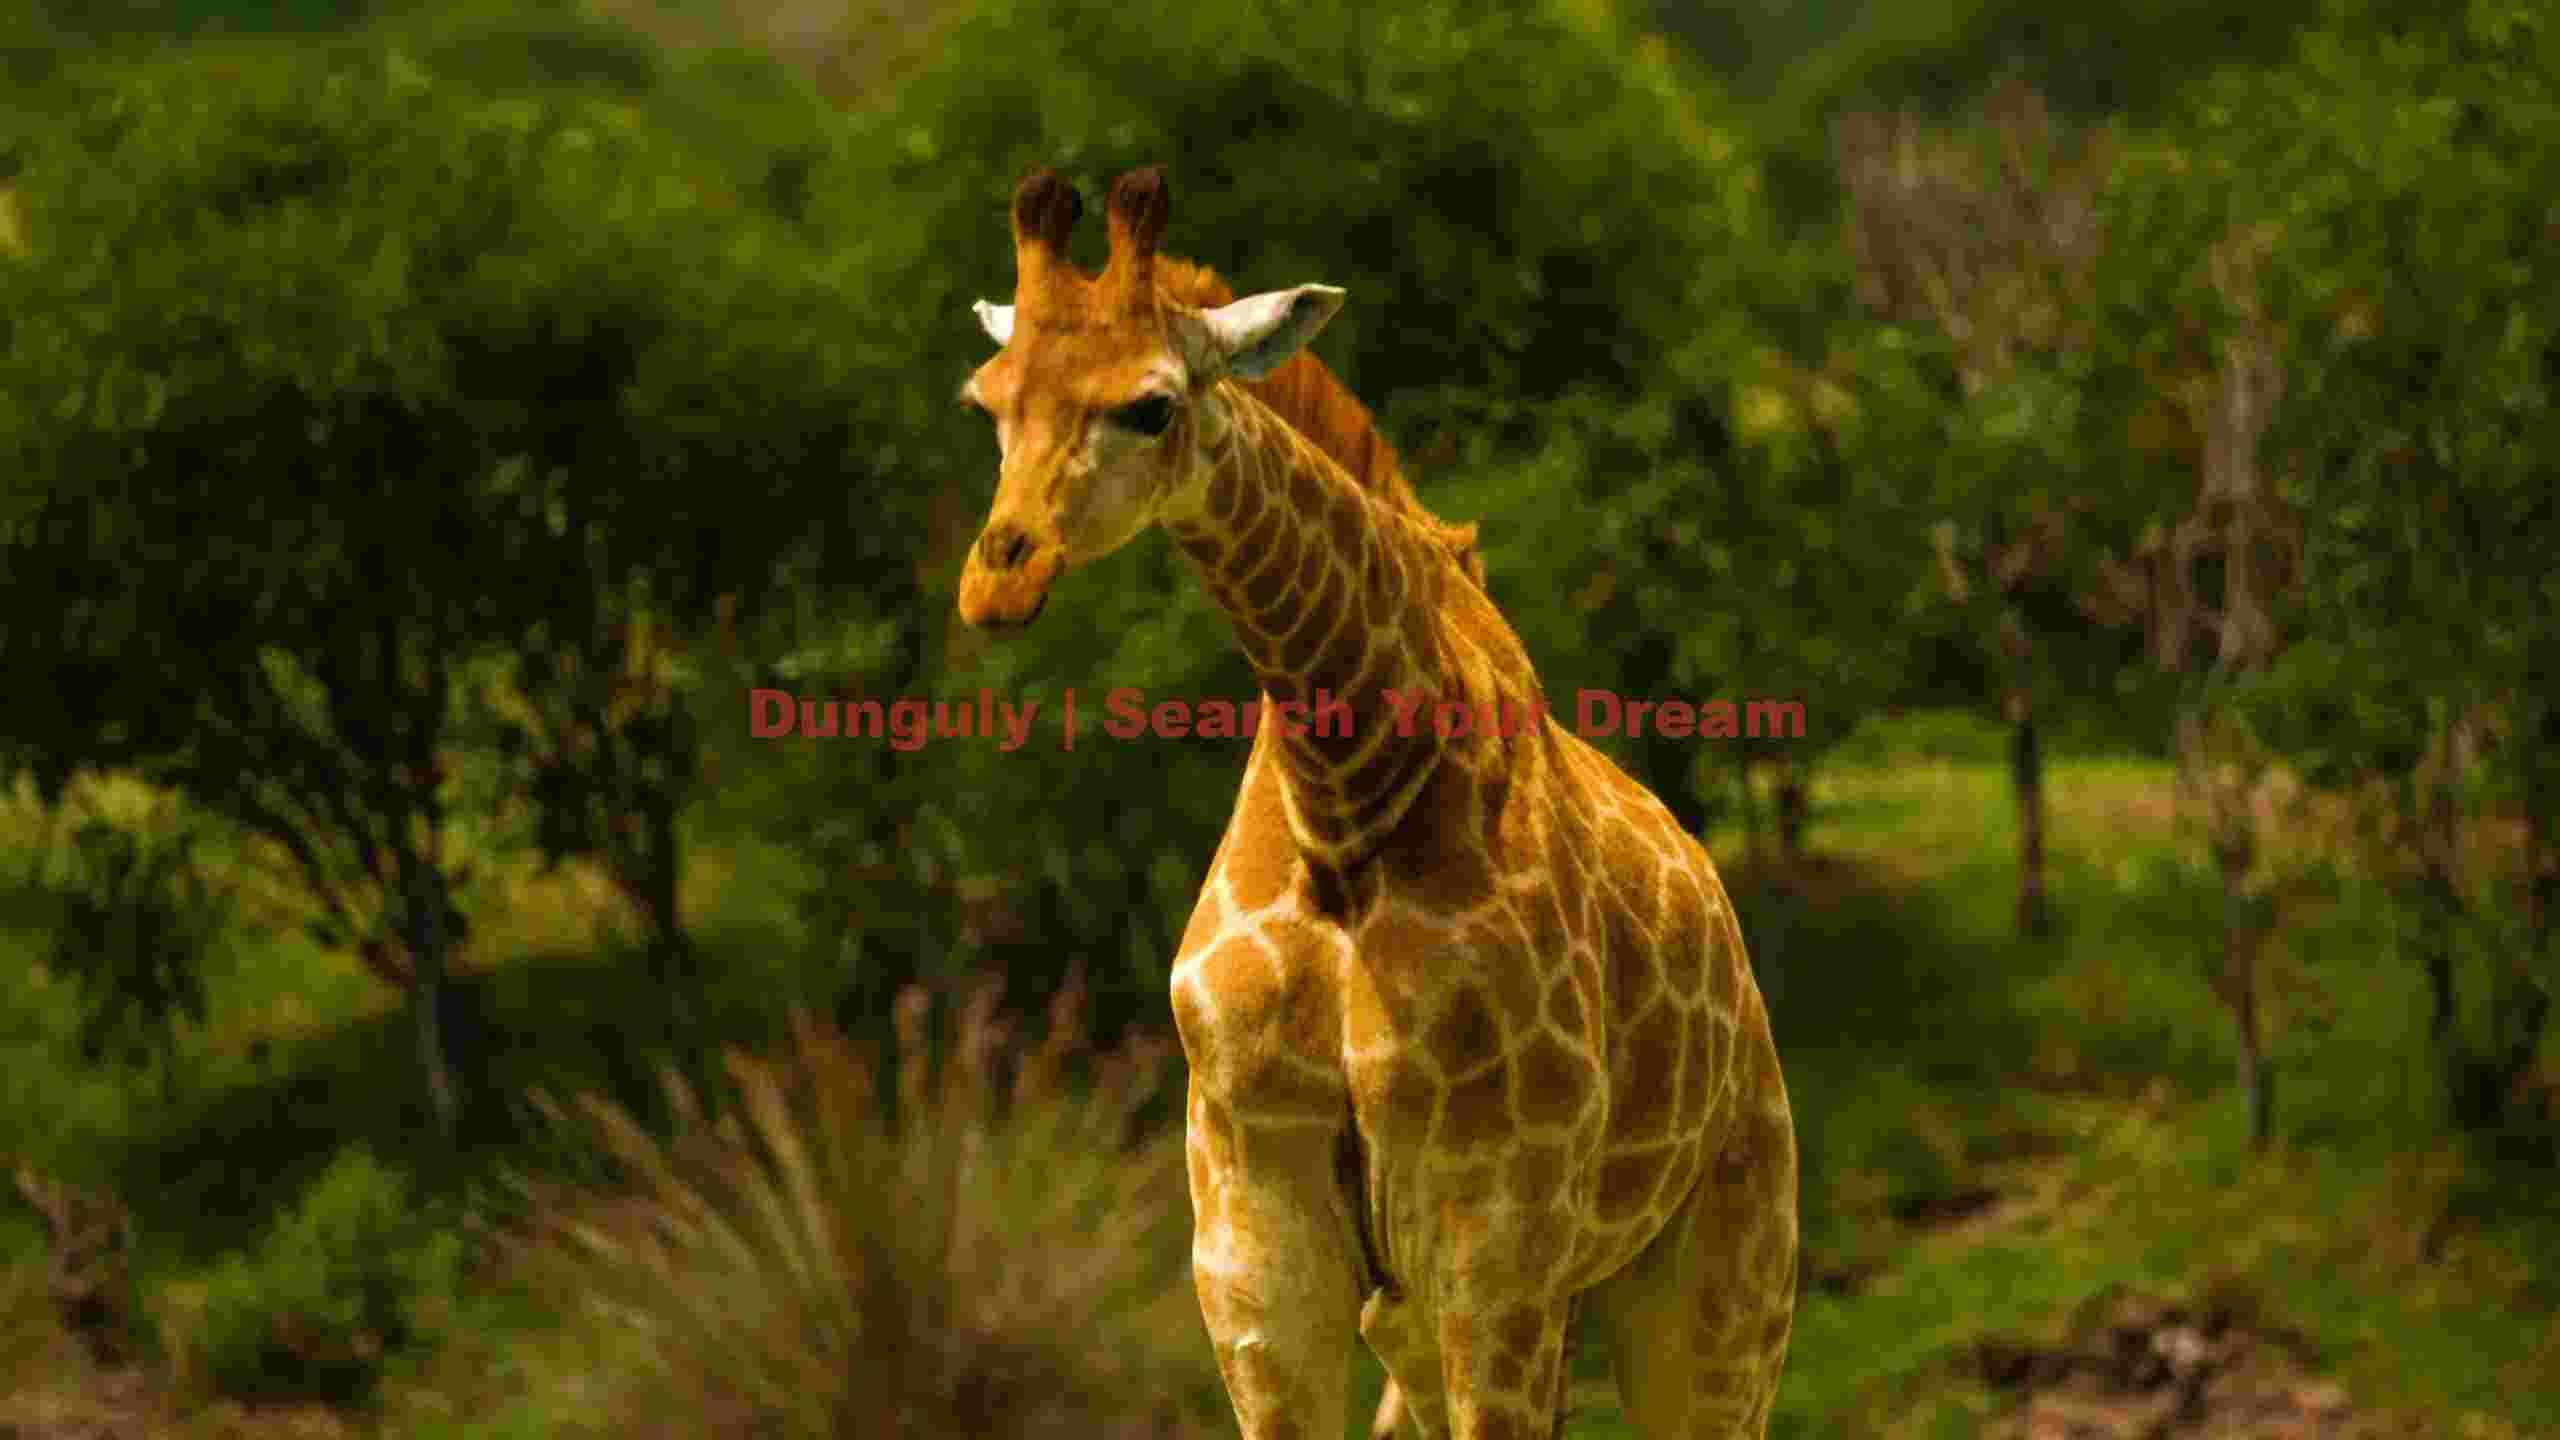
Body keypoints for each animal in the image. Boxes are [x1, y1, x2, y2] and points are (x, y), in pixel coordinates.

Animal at [953, 166, 1798, 1440]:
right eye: (989, 404)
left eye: (1150, 407)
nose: (998, 579)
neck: (1344, 806)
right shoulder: (1254, 1246)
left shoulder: (1500, 1243)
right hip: (1422, 1321)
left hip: (1719, 1276)